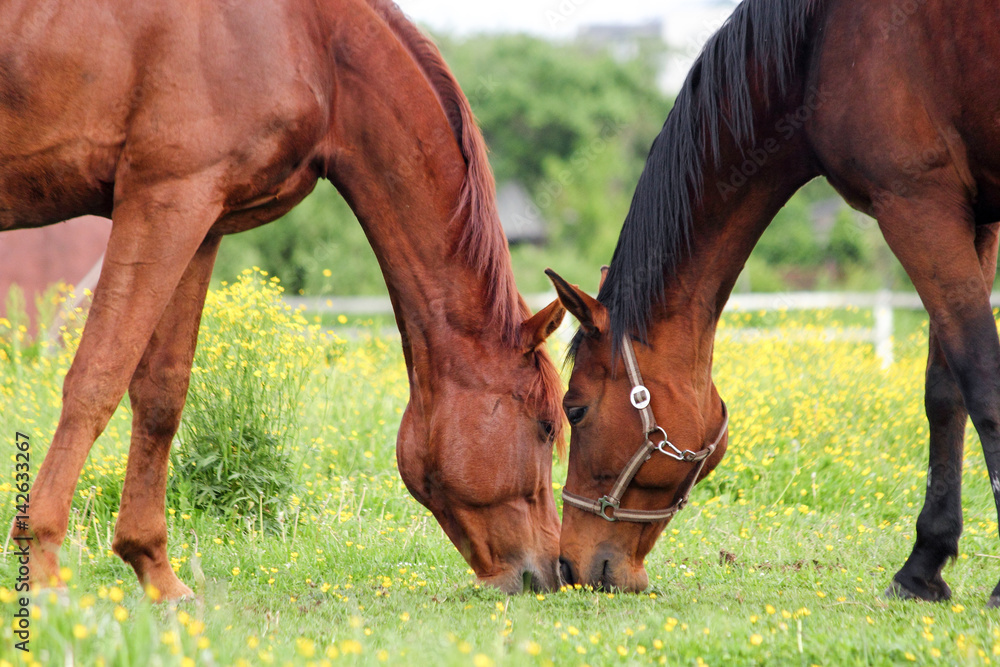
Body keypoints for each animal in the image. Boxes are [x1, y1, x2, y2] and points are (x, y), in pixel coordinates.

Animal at [2, 0, 568, 597]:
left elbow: (161, 394)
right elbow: (97, 379)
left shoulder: (202, 222)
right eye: (546, 426)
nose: (551, 572)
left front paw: (156, 571)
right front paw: (43, 565)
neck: (313, 43)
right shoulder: (165, 198)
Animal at [546, 0, 1000, 604]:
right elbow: (945, 392)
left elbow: (983, 381)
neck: (818, 45)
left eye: (574, 409)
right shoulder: (974, 216)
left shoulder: (918, 203)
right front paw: (923, 565)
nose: (568, 566)